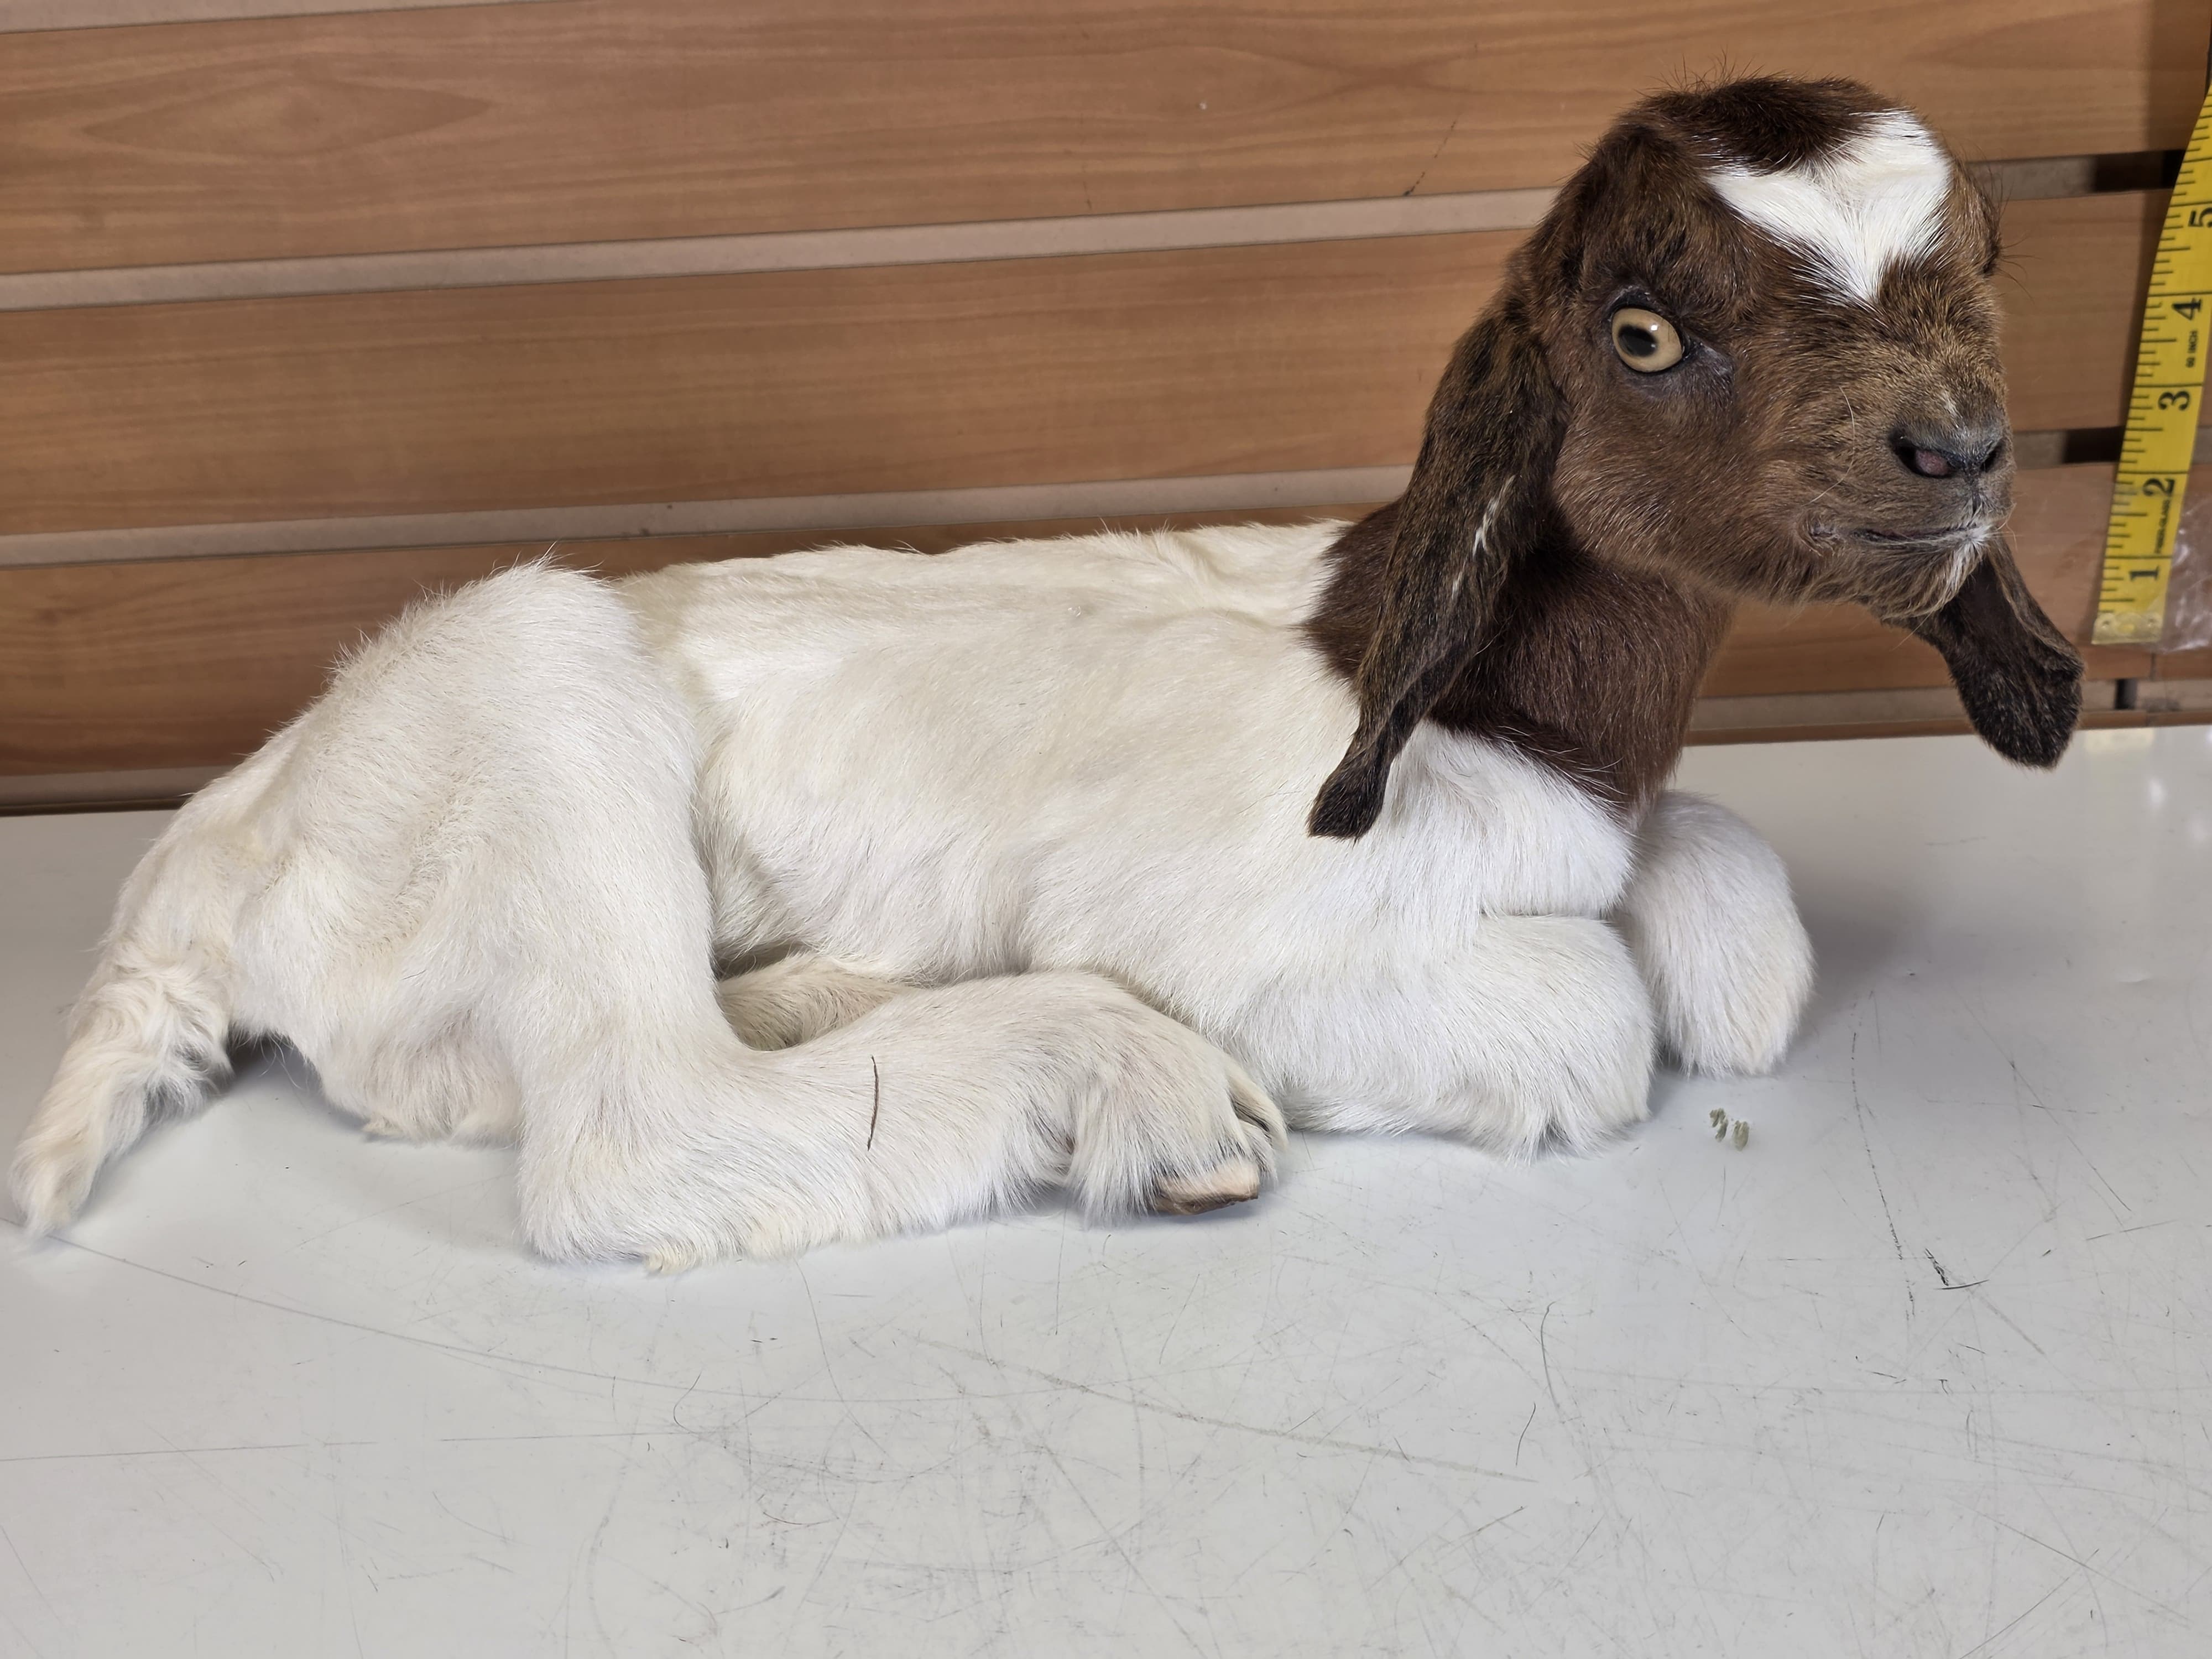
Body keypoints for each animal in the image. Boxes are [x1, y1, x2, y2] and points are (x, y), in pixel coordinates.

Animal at [12, 77, 2081, 1267]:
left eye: (1976, 272)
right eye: (1643, 332)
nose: (1965, 451)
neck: (1461, 697)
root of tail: (206, 864)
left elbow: (1733, 915)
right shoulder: (1264, 929)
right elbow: (1594, 1010)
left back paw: (825, 984)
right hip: (539, 698)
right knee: (626, 1132)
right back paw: (1118, 1090)